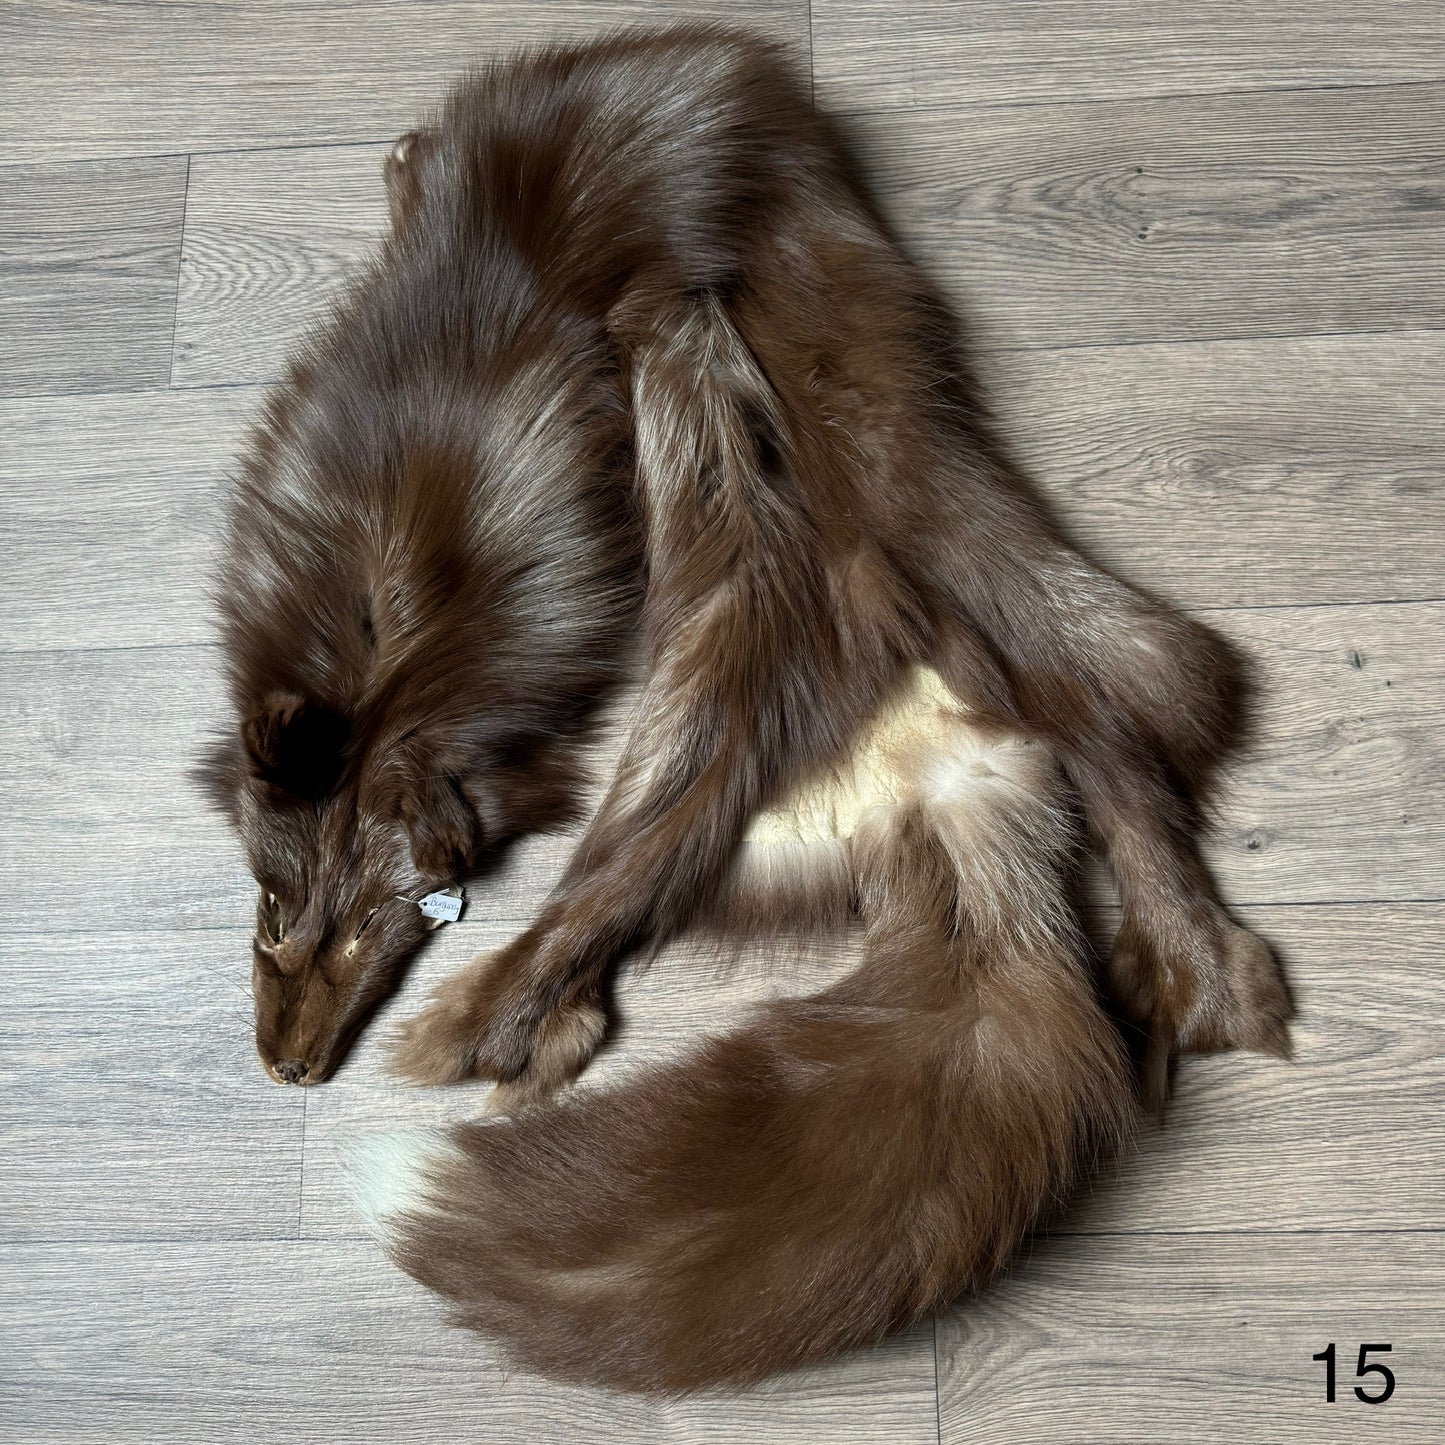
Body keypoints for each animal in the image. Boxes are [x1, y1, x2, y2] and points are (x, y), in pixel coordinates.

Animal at [199, 26, 1292, 1392]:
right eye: (268, 913)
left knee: (1109, 720)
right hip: (810, 663)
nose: (286, 1069)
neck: (391, 630)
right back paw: (1185, 976)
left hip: (784, 559)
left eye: (367, 931)